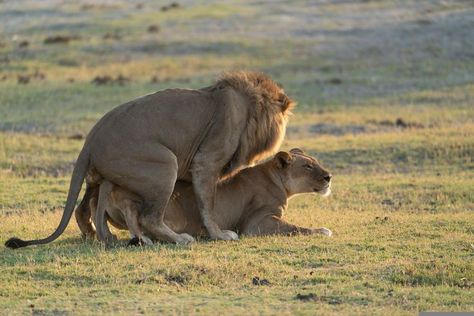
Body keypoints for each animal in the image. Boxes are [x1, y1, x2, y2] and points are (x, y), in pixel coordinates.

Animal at [5, 70, 294, 248]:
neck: (247, 108)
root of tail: (90, 141)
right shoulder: (206, 162)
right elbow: (207, 204)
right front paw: (220, 234)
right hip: (165, 166)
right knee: (150, 217)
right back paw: (179, 239)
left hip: (98, 178)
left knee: (82, 208)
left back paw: (96, 235)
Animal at [81, 148, 334, 242]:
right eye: (308, 167)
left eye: (315, 162)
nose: (329, 176)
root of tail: (111, 181)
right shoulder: (256, 223)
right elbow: (295, 227)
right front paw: (323, 230)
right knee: (137, 214)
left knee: (95, 206)